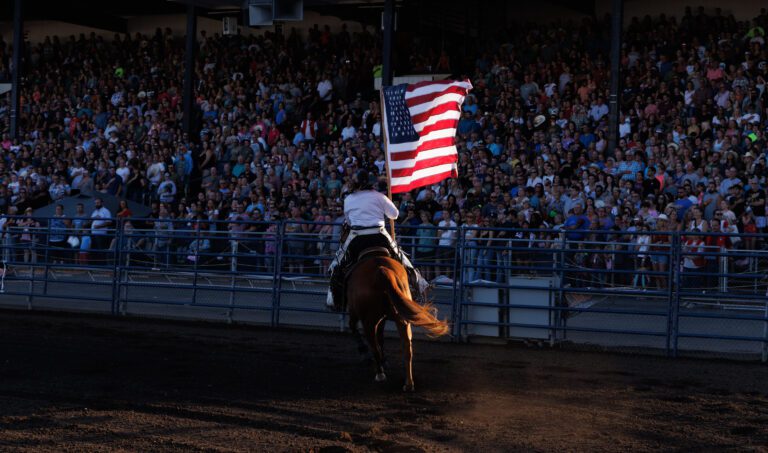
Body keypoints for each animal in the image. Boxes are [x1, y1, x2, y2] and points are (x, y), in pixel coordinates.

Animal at [344, 251, 448, 392]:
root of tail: (381, 271)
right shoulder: (381, 319)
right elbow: (381, 337)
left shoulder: (357, 314)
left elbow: (355, 328)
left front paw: (365, 354)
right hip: (402, 320)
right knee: (407, 348)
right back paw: (408, 383)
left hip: (368, 321)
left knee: (373, 345)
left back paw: (380, 373)